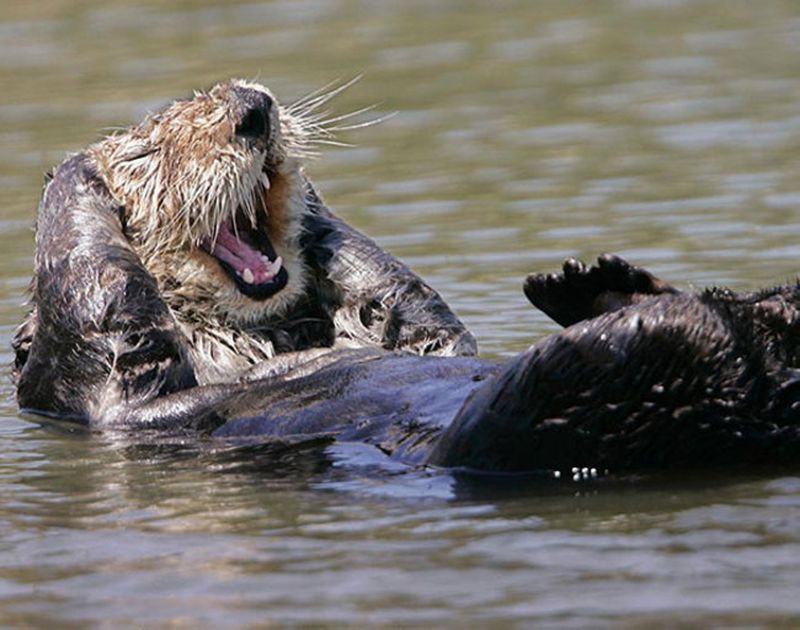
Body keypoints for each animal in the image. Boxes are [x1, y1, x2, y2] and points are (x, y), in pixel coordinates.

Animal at [10, 79, 800, 474]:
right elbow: (101, 308)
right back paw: (637, 309)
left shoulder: (419, 327)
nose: (253, 110)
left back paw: (598, 284)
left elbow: (414, 313)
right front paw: (76, 174)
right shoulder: (100, 389)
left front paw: (320, 220)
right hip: (552, 417)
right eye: (149, 154)